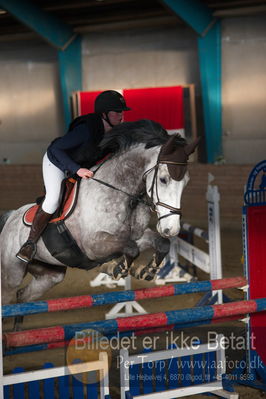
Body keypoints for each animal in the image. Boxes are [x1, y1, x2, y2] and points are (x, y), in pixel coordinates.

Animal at [0, 119, 200, 306]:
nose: (172, 229)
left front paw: (146, 270)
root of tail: (10, 217)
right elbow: (131, 249)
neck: (124, 194)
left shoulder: (133, 236)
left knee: (23, 296)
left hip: (50, 275)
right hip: (12, 275)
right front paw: (118, 269)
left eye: (186, 182)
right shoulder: (93, 244)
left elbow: (160, 243)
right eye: (163, 179)